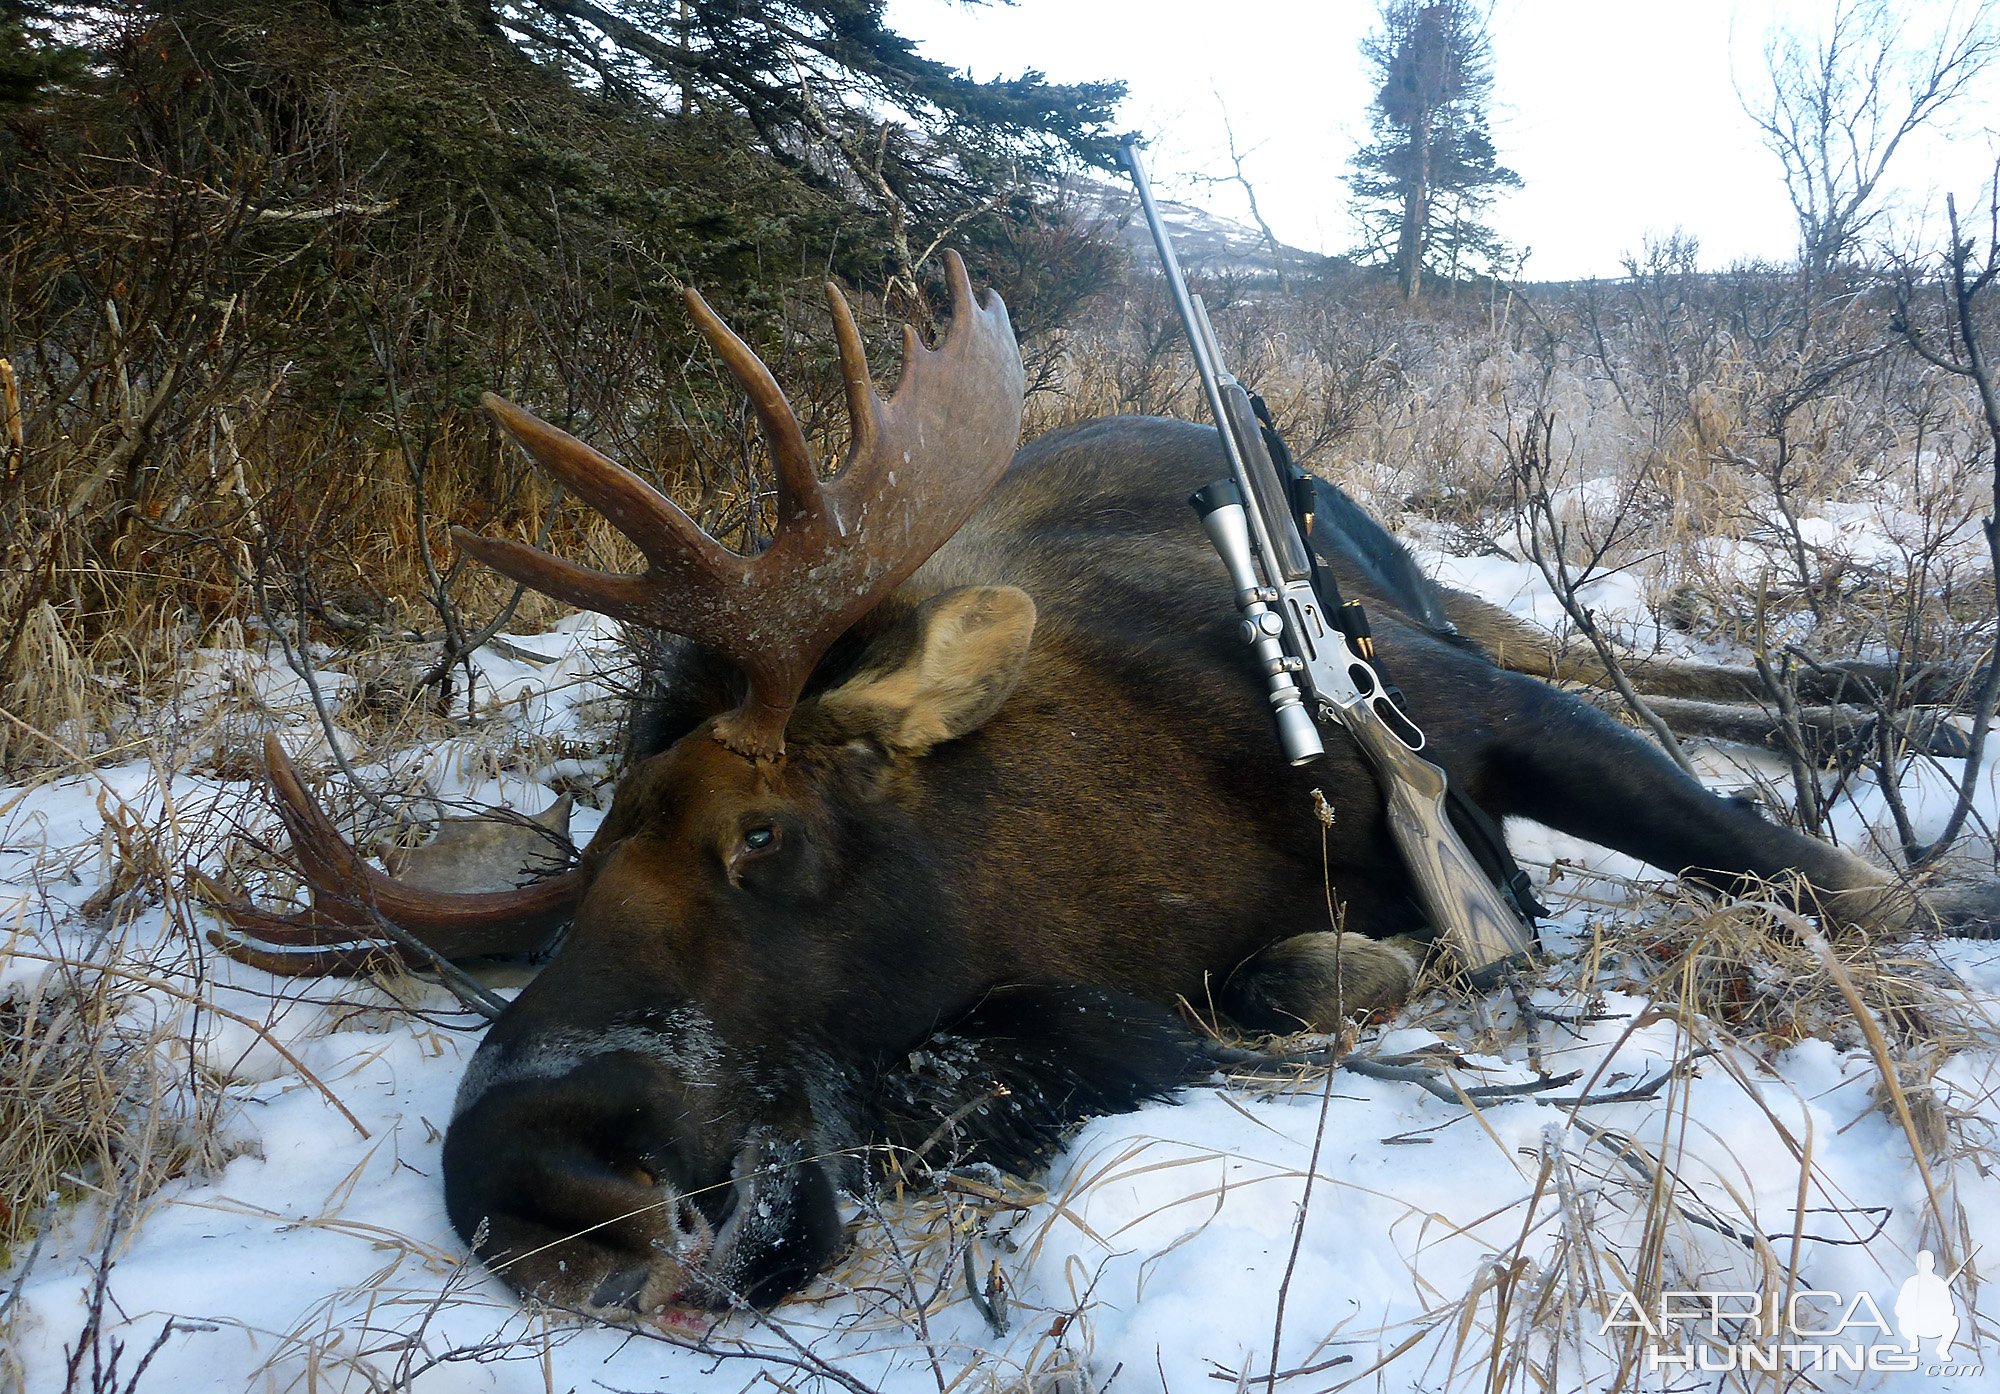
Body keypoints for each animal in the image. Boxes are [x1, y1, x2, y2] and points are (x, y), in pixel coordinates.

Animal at [215, 253, 2000, 1312]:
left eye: (761, 831)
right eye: (579, 883)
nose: (530, 1170)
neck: (1132, 863)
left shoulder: (1463, 708)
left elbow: (1816, 875)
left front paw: (1948, 892)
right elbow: (1258, 984)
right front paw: (1367, 962)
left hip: (1442, 610)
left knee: (1640, 671)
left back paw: (1924, 695)